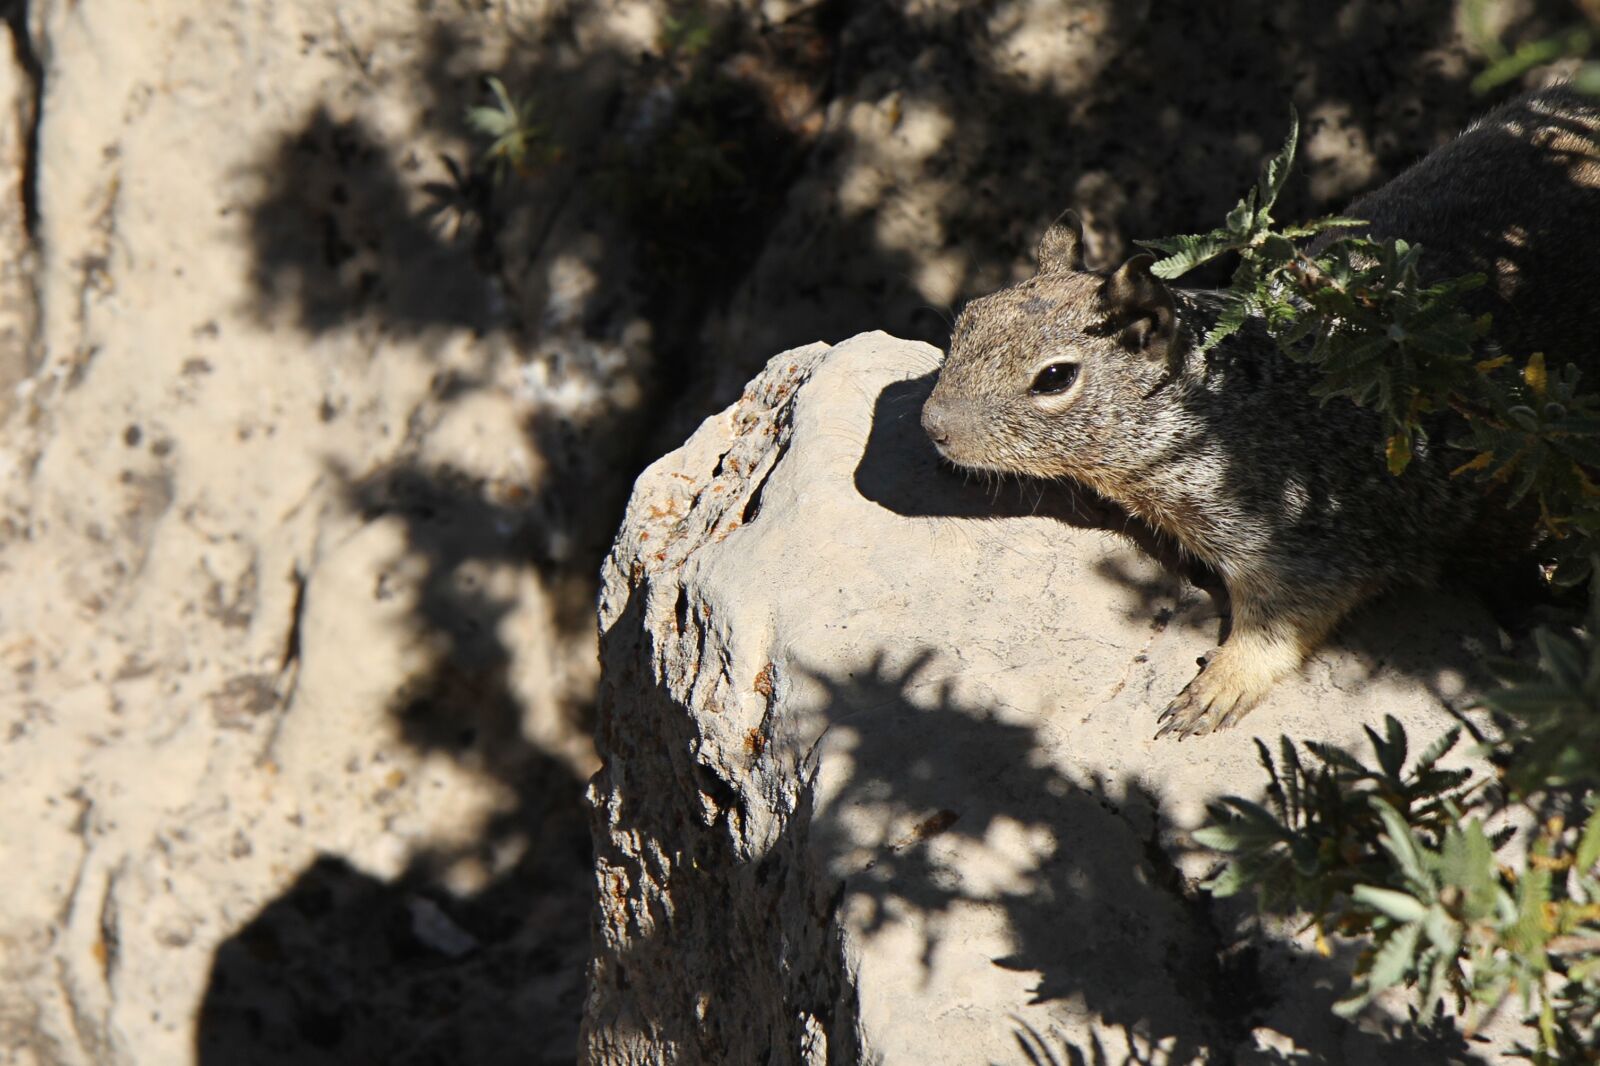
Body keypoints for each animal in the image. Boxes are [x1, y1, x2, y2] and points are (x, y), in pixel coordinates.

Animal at [921, 86, 1600, 740]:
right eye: (970, 316)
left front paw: (1220, 685)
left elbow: (1285, 621)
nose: (933, 426)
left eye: (1056, 378)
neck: (1232, 406)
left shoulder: (1307, 537)